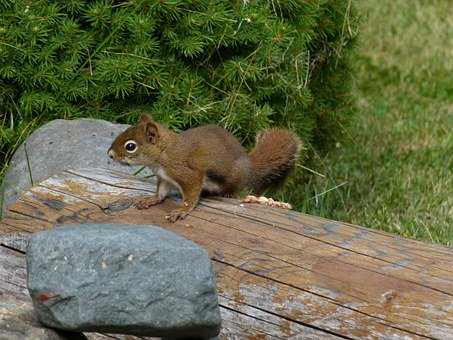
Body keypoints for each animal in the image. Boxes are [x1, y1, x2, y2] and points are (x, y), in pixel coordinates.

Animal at [107, 113, 300, 220]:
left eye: (130, 146)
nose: (109, 154)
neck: (163, 154)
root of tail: (250, 165)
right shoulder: (164, 178)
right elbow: (161, 193)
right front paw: (150, 200)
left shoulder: (188, 174)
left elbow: (191, 195)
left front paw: (181, 211)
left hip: (233, 177)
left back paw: (228, 193)